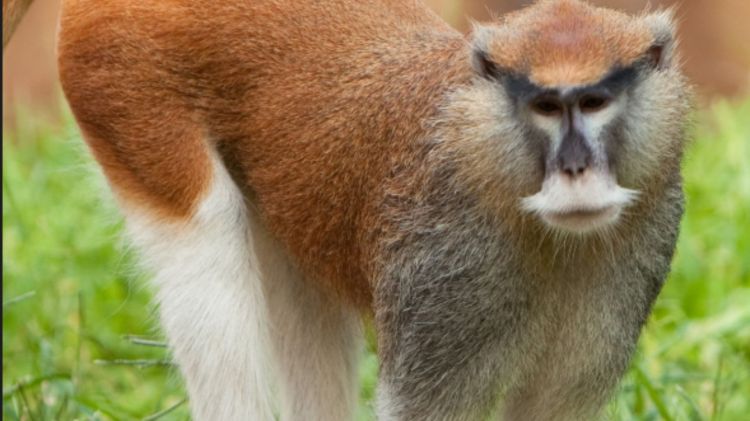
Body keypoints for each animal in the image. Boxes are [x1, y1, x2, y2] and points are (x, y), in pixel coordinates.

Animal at [45, 0, 693, 419]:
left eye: (595, 102)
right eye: (546, 108)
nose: (576, 170)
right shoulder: (444, 279)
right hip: (125, 92)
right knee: (210, 264)